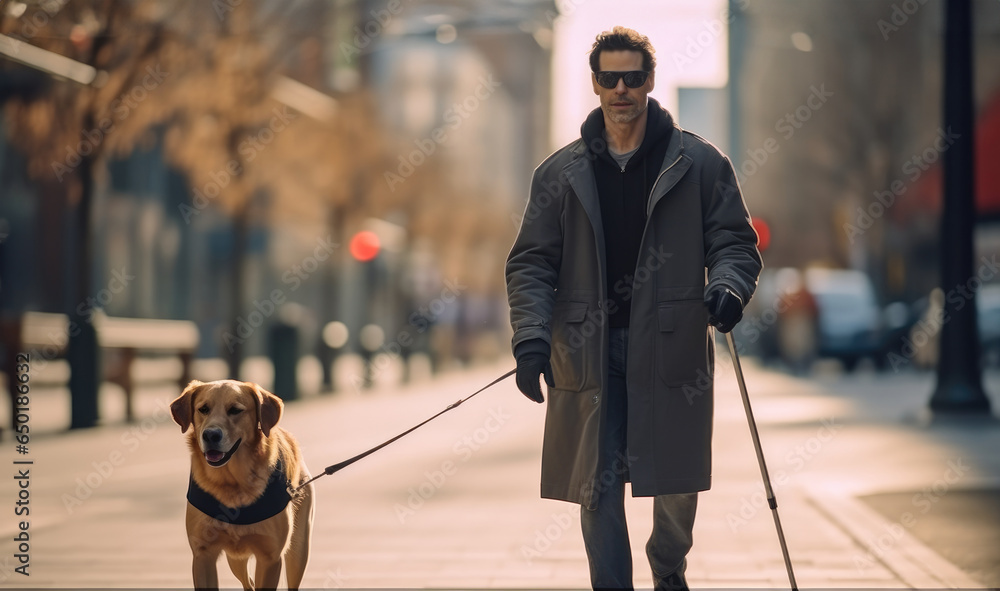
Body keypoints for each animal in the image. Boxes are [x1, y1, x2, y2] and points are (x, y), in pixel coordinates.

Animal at [170, 382, 314, 588]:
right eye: (203, 409)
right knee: (248, 583)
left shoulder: (270, 558)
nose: (210, 435)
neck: (232, 481)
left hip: (298, 552)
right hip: (236, 559)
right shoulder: (202, 554)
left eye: (235, 410)